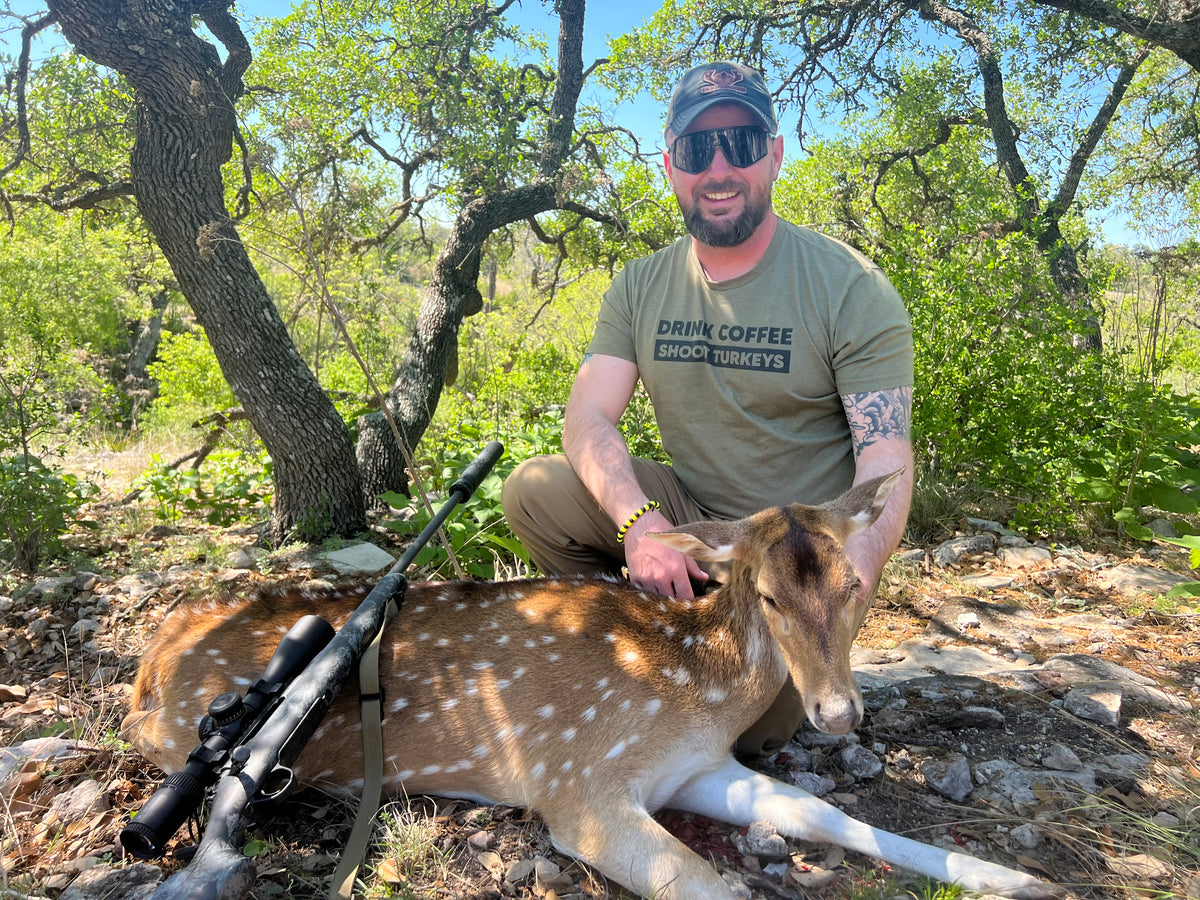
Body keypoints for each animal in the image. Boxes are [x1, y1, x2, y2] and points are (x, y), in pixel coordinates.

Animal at [122, 471, 1059, 900]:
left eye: (854, 583)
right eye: (763, 592)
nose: (836, 711)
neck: (692, 688)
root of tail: (148, 662)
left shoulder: (696, 767)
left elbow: (821, 813)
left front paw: (1018, 879)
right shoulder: (581, 786)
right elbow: (707, 882)